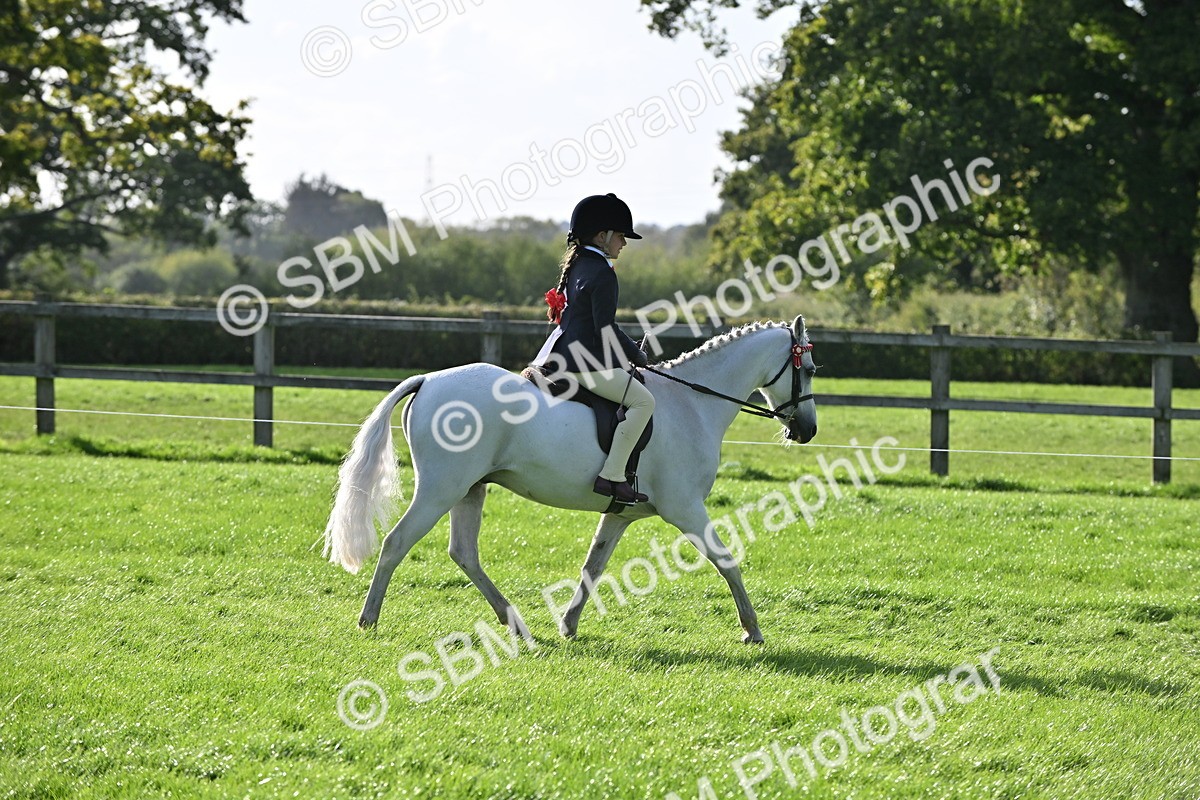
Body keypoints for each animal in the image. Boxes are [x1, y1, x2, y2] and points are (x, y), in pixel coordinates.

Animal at [322, 315, 818, 644]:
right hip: (441, 488)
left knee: (463, 553)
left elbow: (593, 567)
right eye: (809, 370)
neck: (693, 405)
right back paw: (369, 619)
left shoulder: (621, 514)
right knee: (396, 543)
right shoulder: (686, 508)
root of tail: (428, 380)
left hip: (469, 488)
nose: (808, 430)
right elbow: (726, 559)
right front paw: (752, 629)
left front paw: (568, 624)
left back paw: (515, 623)